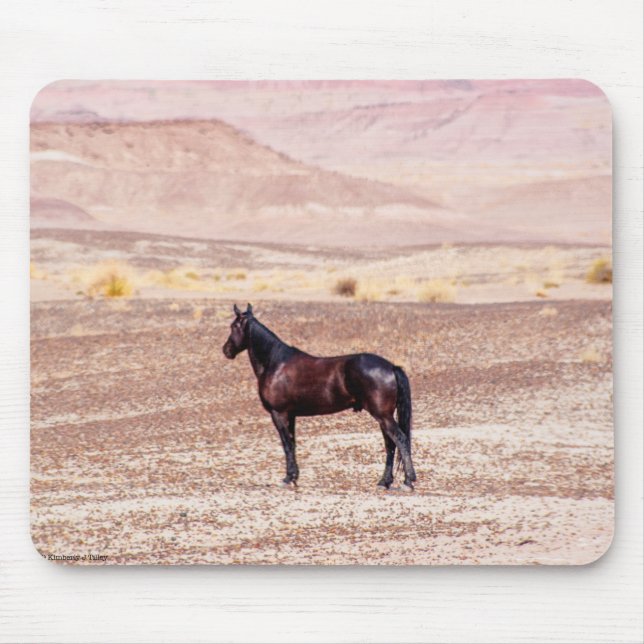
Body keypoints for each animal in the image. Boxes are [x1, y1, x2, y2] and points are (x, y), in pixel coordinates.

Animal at [222, 303, 417, 490]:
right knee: (390, 445)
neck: (275, 363)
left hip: (383, 416)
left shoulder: (279, 413)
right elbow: (293, 443)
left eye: (233, 326)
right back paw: (384, 482)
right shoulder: (291, 415)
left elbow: (286, 445)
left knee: (400, 440)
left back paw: (407, 482)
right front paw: (294, 478)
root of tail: (391, 367)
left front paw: (288, 479)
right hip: (384, 417)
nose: (226, 350)